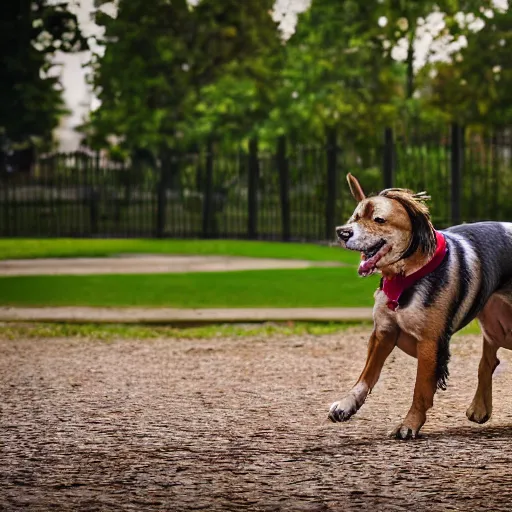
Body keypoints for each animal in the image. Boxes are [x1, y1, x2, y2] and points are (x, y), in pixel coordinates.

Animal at [328, 174, 512, 438]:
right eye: (355, 217)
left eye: (379, 219)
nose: (342, 232)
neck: (407, 275)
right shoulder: (383, 332)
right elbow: (366, 375)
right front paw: (347, 404)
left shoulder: (430, 342)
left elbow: (421, 389)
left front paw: (410, 423)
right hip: (496, 326)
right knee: (488, 362)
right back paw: (479, 408)